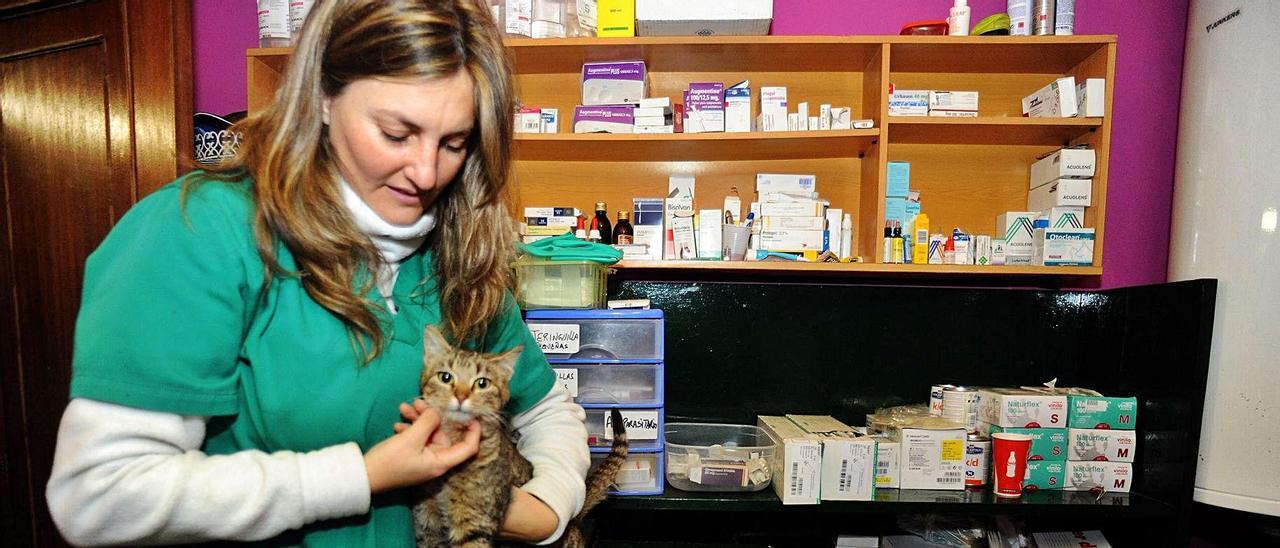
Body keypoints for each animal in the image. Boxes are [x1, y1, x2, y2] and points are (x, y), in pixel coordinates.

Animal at [412, 327, 627, 545]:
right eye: (445, 377)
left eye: (482, 383)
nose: (461, 396)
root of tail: (572, 521)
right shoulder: (426, 525)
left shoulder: (475, 523)